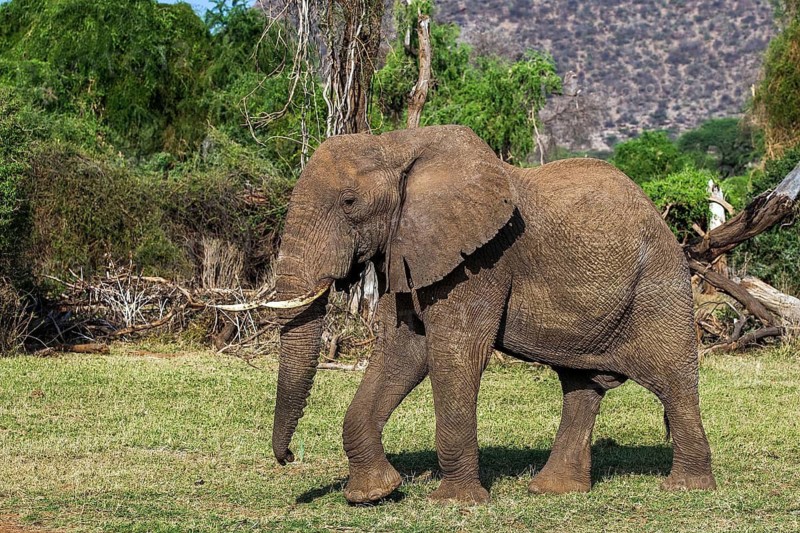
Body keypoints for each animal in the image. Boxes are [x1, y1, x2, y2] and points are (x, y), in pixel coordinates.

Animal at [267, 125, 716, 504]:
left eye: (349, 202)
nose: (288, 457)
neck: (396, 144)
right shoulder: (410, 250)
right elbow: (403, 351)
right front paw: (373, 495)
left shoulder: (481, 260)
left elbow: (456, 353)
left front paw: (455, 503)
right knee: (581, 386)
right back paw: (554, 491)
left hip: (660, 283)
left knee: (673, 382)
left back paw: (685, 489)